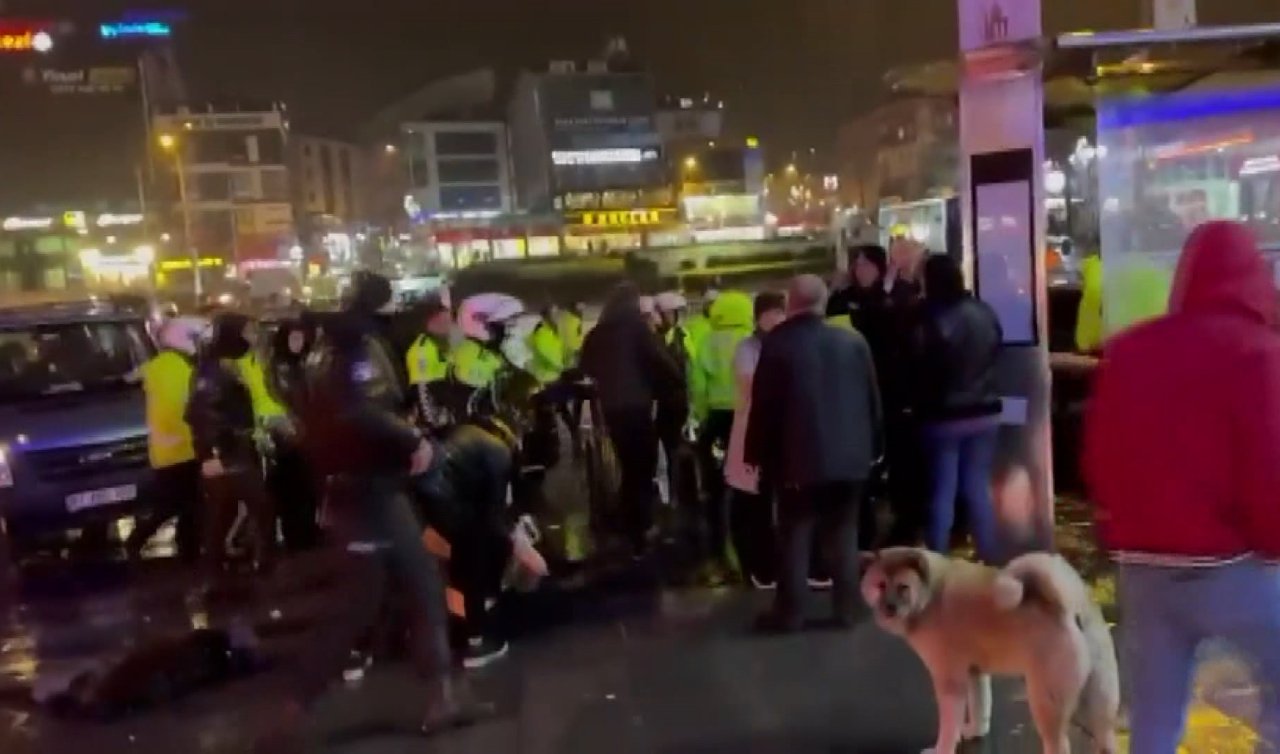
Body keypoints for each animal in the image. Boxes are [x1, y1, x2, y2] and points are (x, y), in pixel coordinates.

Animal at [860, 547, 1121, 752]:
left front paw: (941, 749)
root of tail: (1069, 607)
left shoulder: (950, 680)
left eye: (902, 587)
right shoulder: (974, 672)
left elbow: (948, 726)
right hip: (1101, 702)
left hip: (1045, 700)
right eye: (880, 585)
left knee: (1059, 744)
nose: (889, 608)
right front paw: (975, 730)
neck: (929, 596)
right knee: (1106, 738)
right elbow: (980, 706)